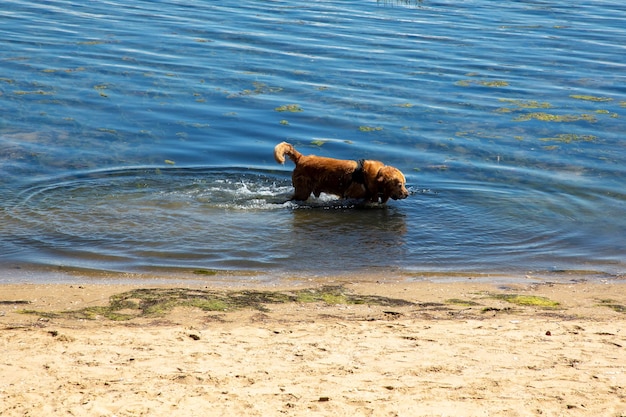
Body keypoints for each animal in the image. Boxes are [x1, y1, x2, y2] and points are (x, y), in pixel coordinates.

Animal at [272, 141, 408, 203]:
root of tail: (301, 158)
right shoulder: (350, 196)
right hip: (302, 191)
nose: (407, 194)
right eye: (399, 185)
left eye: (404, 184)